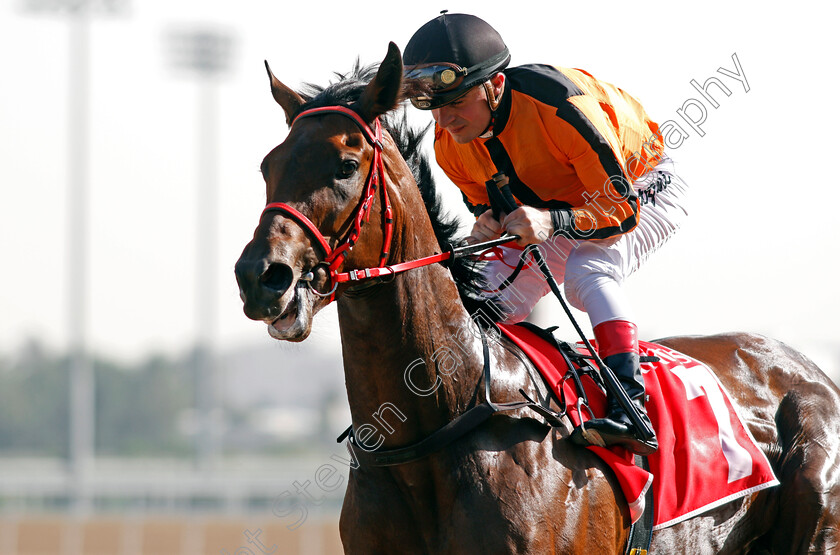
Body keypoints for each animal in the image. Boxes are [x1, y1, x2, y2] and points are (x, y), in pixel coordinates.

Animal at [235, 44, 840, 555]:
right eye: (267, 165)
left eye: (345, 164)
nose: (260, 277)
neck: (431, 431)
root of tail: (808, 369)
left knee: (594, 268)